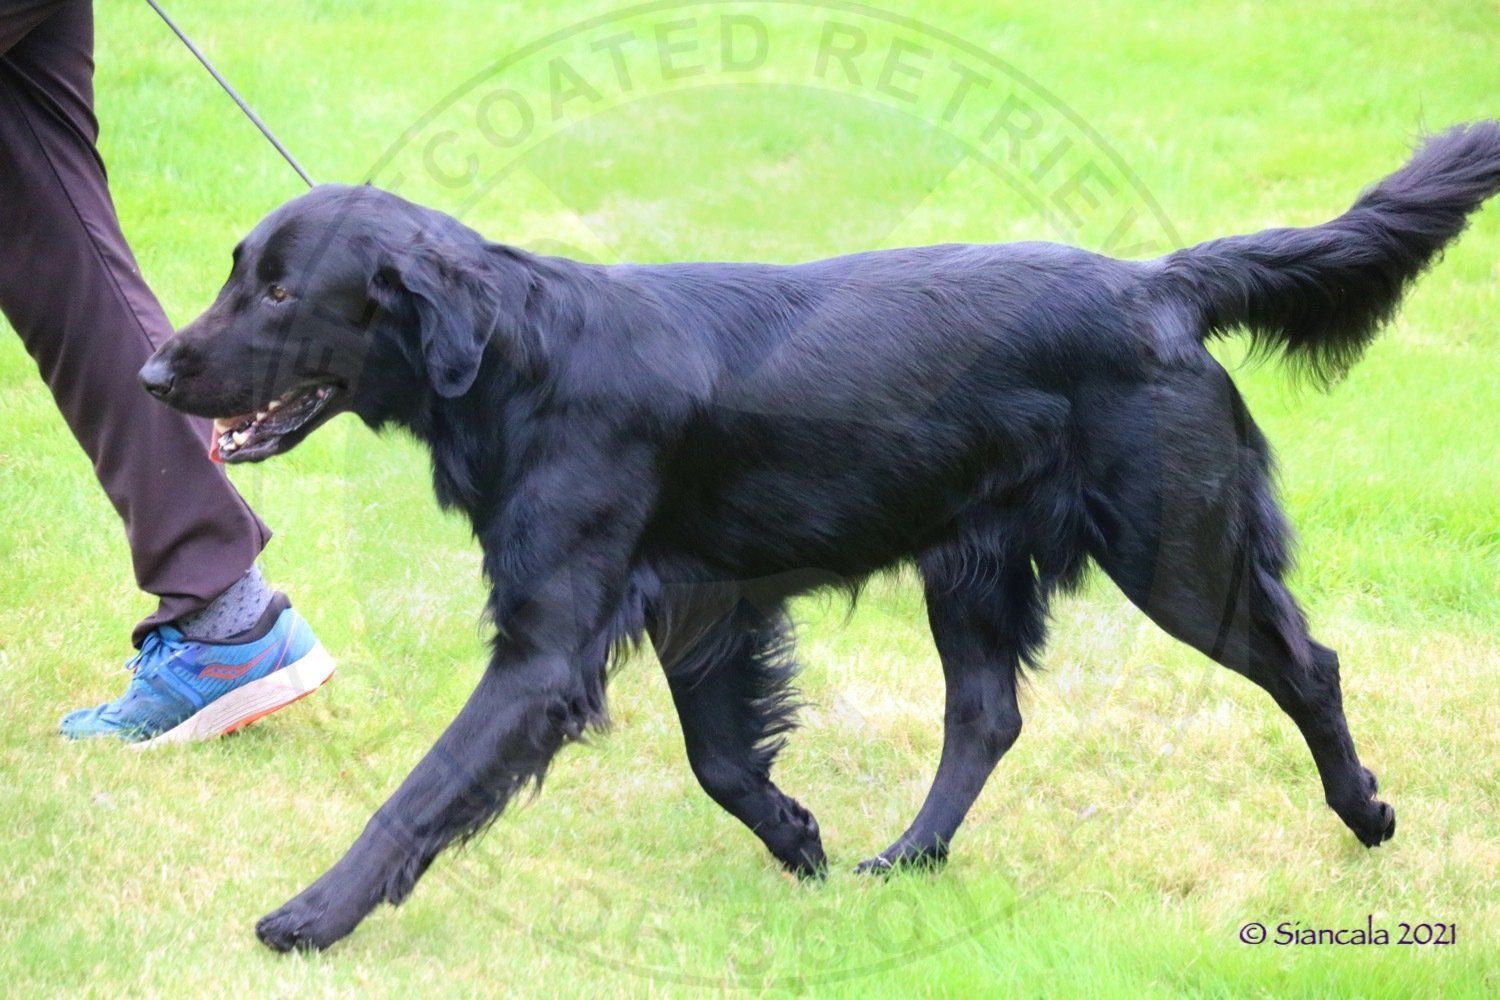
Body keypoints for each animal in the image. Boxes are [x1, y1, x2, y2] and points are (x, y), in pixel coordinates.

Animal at [140, 121, 1499, 951]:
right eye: (236, 270)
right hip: (974, 559)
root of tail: (1157, 283)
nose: (153, 372)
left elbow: (420, 793)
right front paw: (799, 839)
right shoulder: (700, 604)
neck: (522, 355)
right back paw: (908, 858)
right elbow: (722, 758)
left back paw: (1367, 815)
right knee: (987, 717)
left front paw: (311, 914)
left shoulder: (548, 645)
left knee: (1306, 665)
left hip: (1178, 550)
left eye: (278, 291)